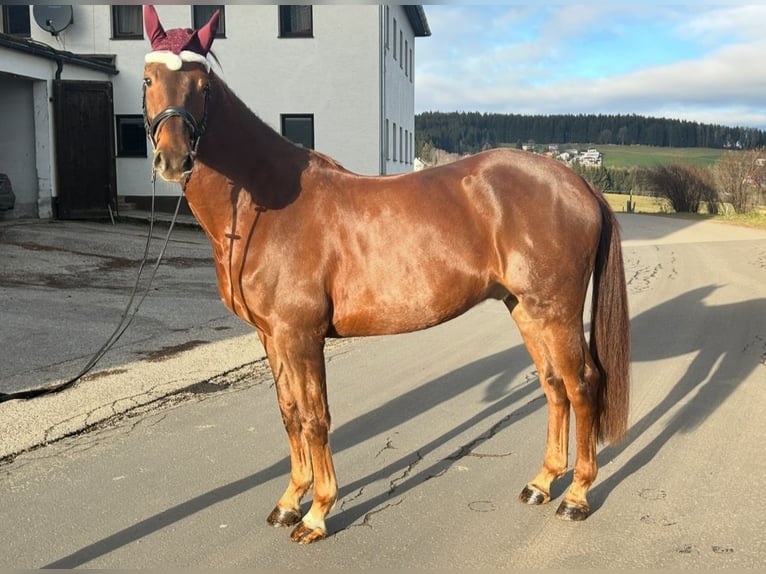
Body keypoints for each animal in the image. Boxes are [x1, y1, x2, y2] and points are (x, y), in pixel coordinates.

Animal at [142, 5, 632, 544]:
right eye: (148, 79)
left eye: (202, 84)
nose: (173, 158)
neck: (265, 202)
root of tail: (575, 181)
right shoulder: (271, 336)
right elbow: (290, 415)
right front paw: (290, 502)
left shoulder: (301, 336)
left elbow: (315, 418)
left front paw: (317, 513)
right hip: (525, 309)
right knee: (553, 385)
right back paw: (542, 483)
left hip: (556, 310)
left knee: (582, 385)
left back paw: (576, 496)